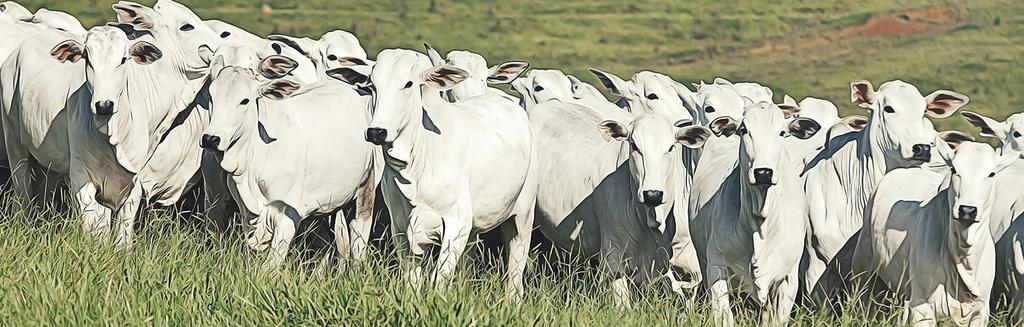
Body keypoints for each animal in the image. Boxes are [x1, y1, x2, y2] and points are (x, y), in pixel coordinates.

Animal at [199, 55, 380, 270]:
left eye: (244, 100)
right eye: (211, 96)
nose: (211, 139)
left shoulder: (287, 215)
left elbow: (271, 266)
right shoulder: (247, 214)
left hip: (365, 191)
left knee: (358, 243)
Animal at [327, 49, 540, 303]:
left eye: (408, 84)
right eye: (372, 85)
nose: (376, 131)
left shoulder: (456, 225)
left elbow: (440, 281)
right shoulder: (401, 228)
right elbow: (411, 282)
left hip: (523, 215)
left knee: (516, 269)